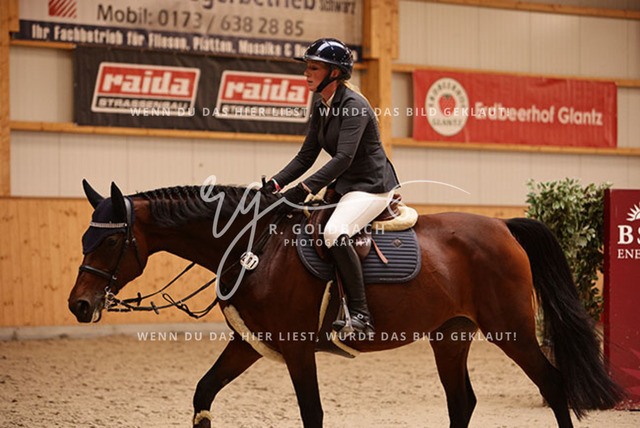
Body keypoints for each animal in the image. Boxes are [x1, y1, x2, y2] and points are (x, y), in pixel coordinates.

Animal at [68, 180, 623, 428]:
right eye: (84, 238)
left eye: (110, 241)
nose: (78, 306)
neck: (254, 245)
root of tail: (503, 226)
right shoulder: (249, 344)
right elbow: (204, 392)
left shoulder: (297, 351)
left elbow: (312, 414)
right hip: (451, 335)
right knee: (462, 400)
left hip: (512, 330)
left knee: (552, 383)